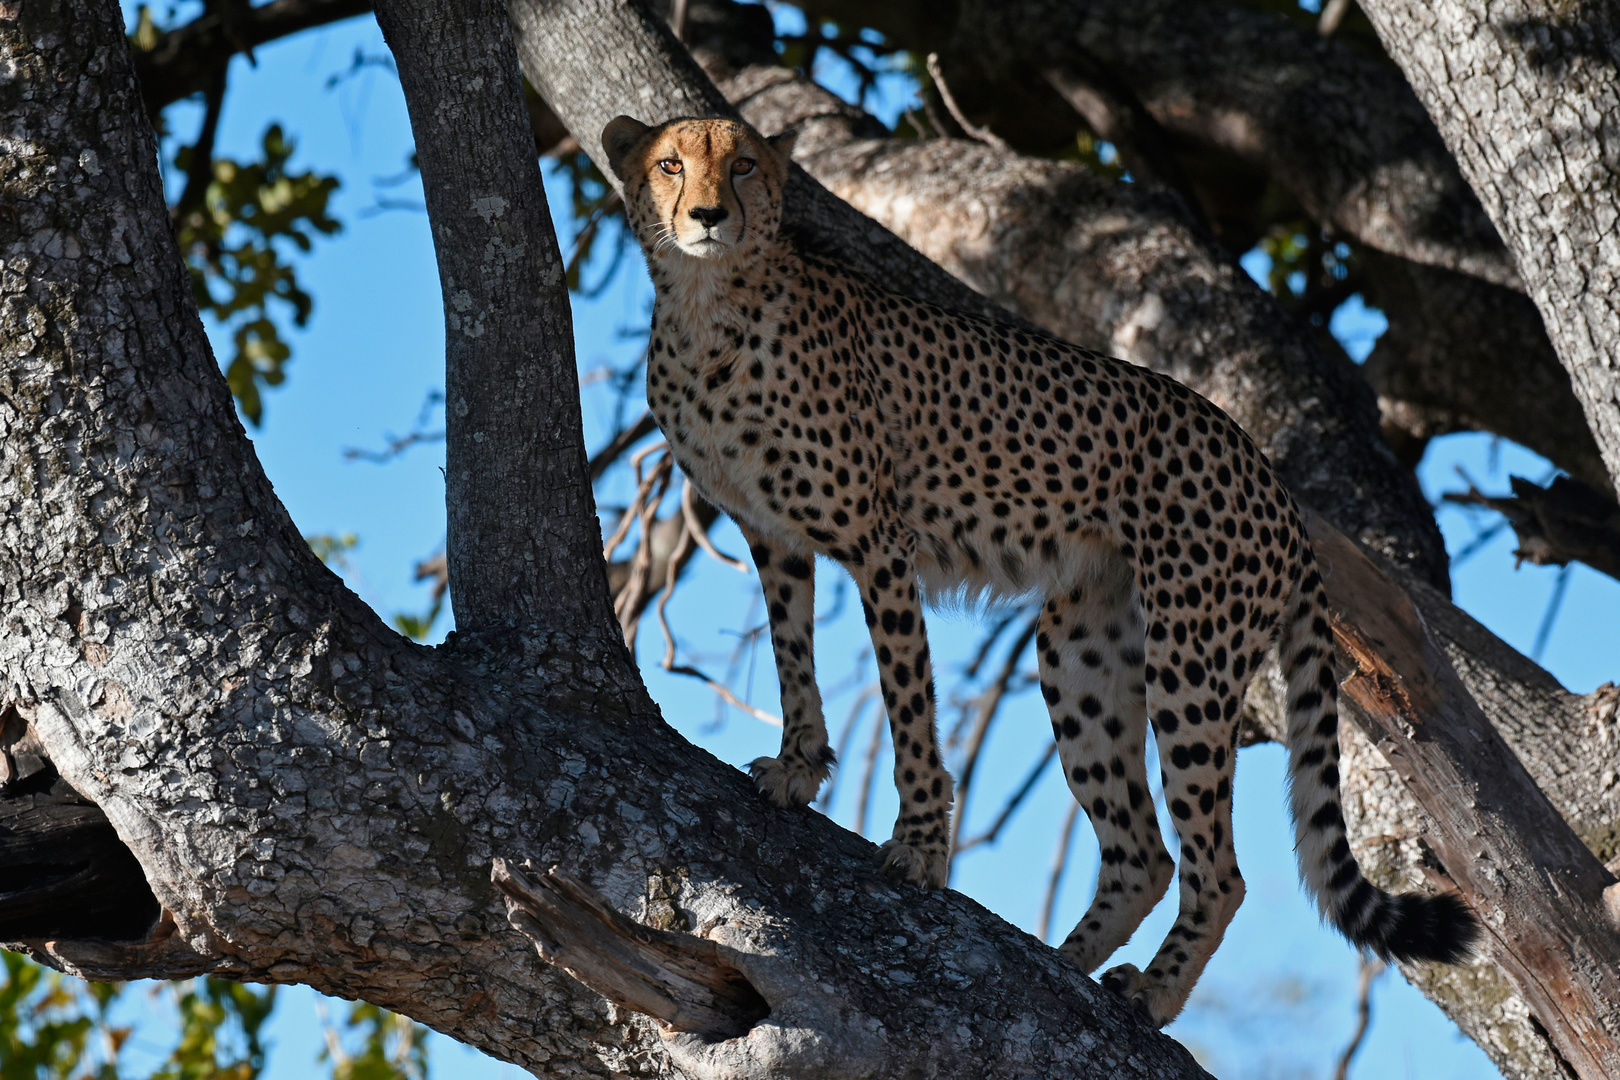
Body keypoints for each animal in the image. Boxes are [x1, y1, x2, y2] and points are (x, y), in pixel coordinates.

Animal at [599, 114, 1483, 1029]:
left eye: (742, 165)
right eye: (670, 164)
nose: (707, 215)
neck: (708, 308)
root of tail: (1268, 473)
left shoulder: (880, 545)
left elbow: (908, 705)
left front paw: (920, 846)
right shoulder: (773, 536)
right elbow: (790, 655)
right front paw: (800, 766)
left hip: (1190, 658)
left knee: (1217, 869)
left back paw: (1154, 993)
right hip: (1081, 651)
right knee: (1143, 852)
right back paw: (1063, 963)